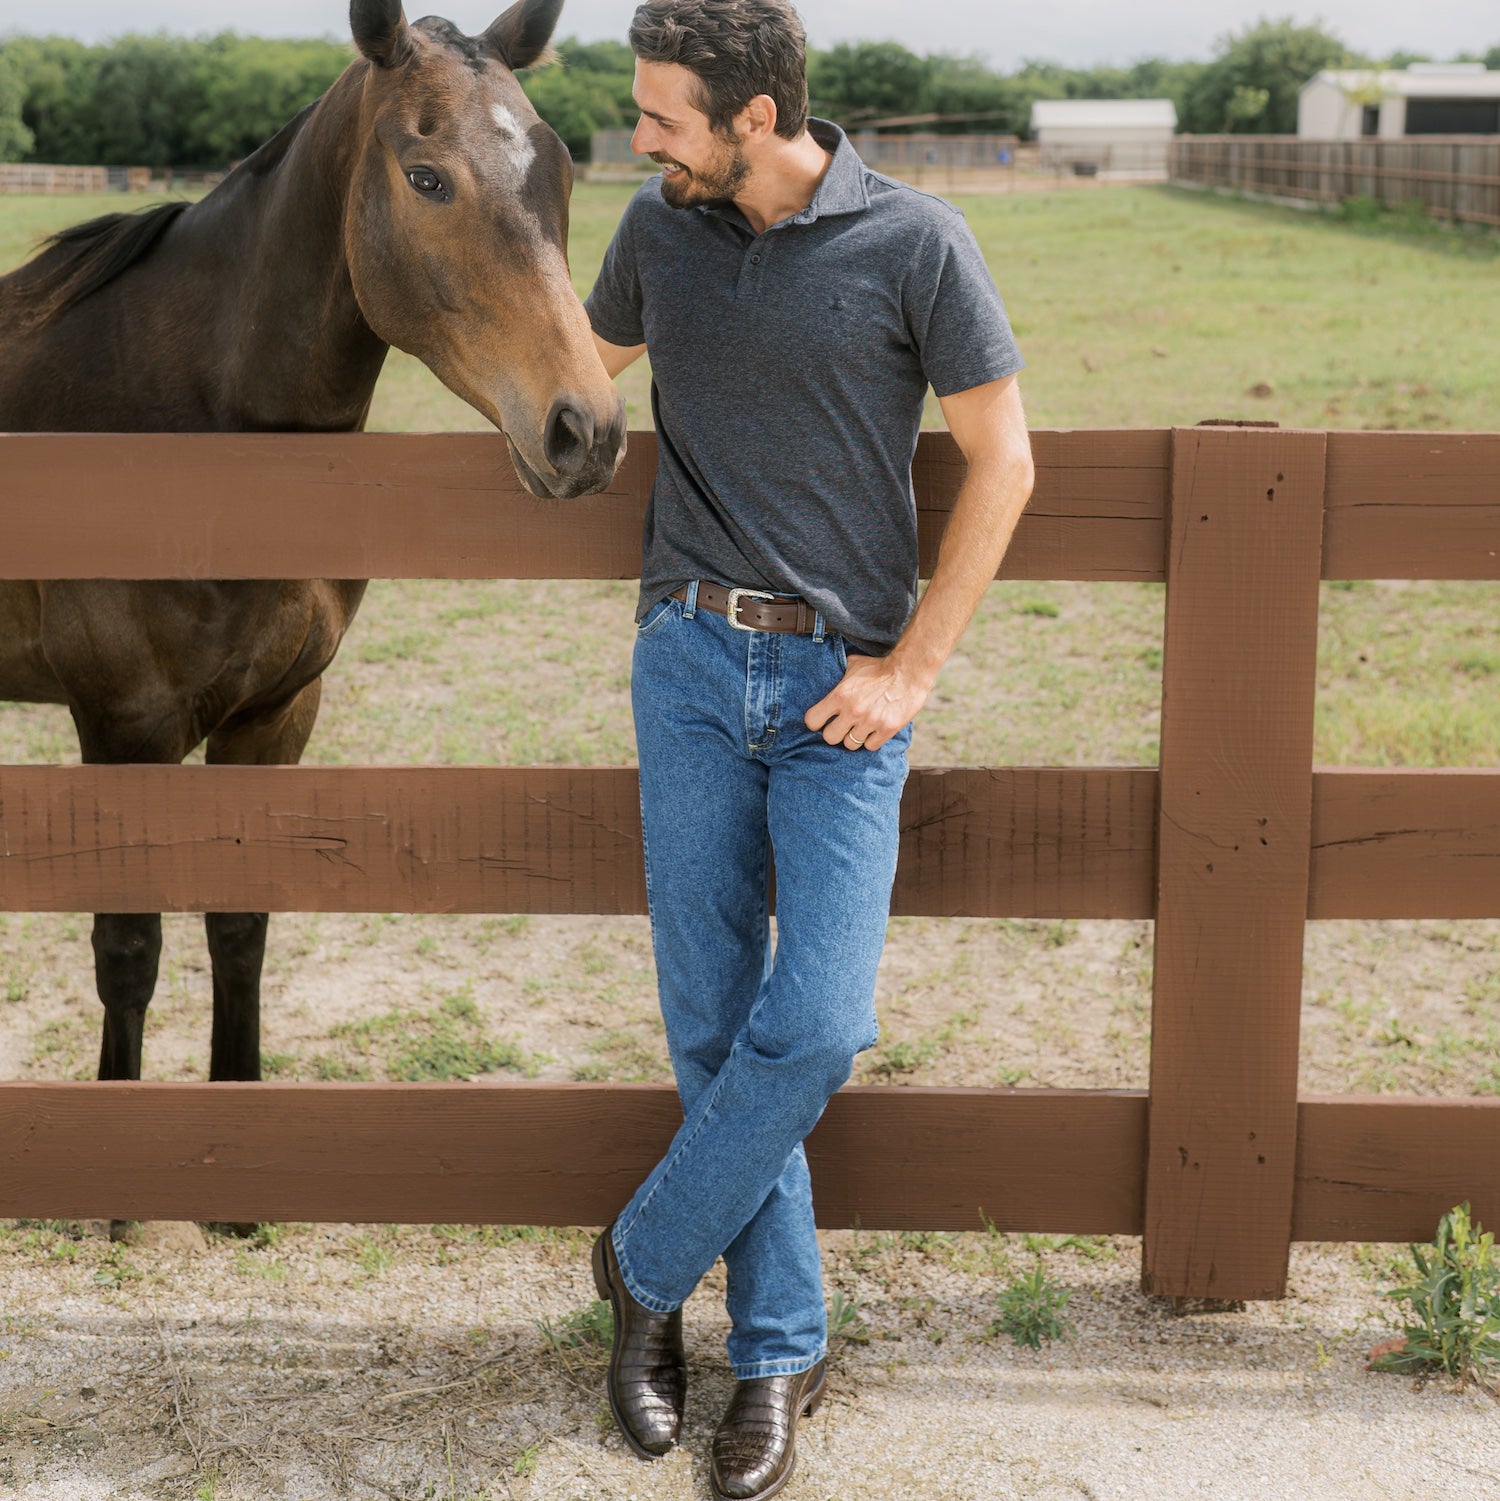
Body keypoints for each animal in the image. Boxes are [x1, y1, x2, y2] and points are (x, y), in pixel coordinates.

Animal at [0, 0, 627, 1086]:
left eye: (558, 167)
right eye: (426, 177)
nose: (583, 431)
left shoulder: (277, 714)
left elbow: (239, 929)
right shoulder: (124, 725)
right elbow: (128, 958)